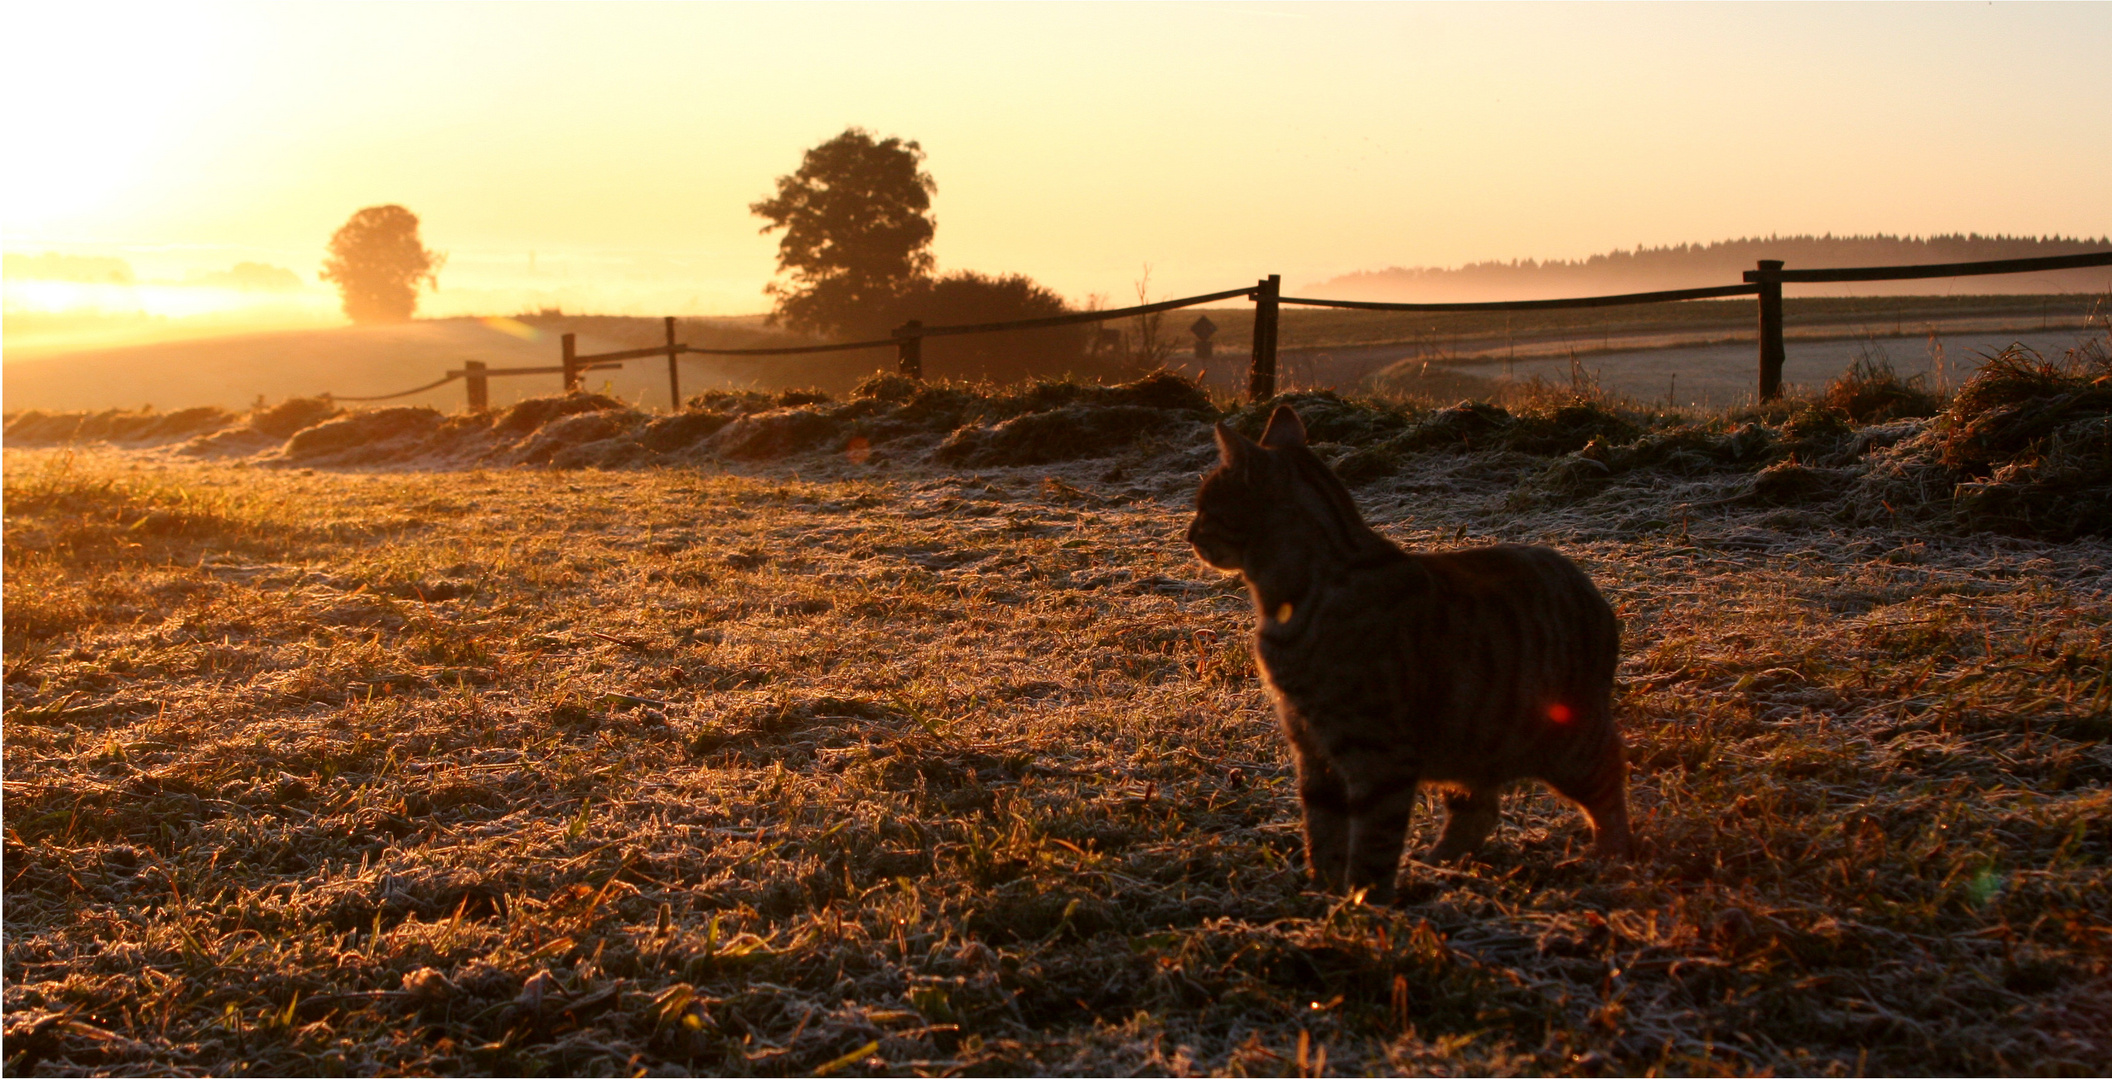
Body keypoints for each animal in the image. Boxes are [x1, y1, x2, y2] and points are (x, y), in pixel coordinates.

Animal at [1191, 401, 1630, 900]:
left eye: (1205, 508)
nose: (1189, 534)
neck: (1285, 599)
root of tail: (1588, 585)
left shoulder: (1378, 753)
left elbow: (1373, 844)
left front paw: (1362, 906)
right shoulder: (1312, 747)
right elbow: (1322, 832)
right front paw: (1322, 894)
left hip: (1567, 742)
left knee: (1611, 776)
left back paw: (1612, 860)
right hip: (1472, 739)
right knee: (1480, 811)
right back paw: (1436, 865)